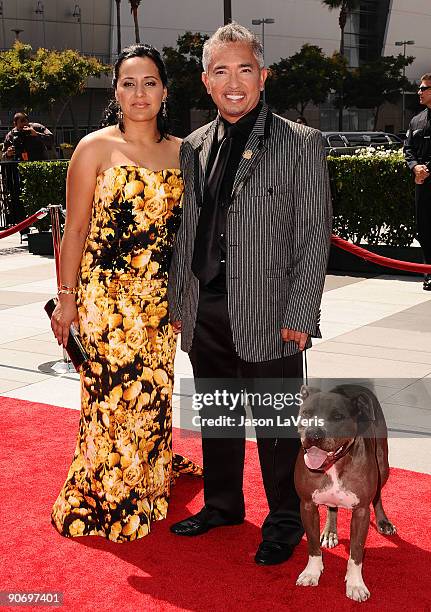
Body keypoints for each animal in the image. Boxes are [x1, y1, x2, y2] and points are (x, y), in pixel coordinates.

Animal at [294, 384, 398, 600]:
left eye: (338, 416)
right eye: (306, 413)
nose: (313, 433)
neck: (334, 464)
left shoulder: (361, 511)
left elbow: (356, 552)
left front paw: (355, 584)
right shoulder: (307, 505)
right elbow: (313, 544)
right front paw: (312, 572)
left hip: (383, 466)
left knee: (378, 496)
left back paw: (384, 522)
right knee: (332, 508)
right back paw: (330, 532)